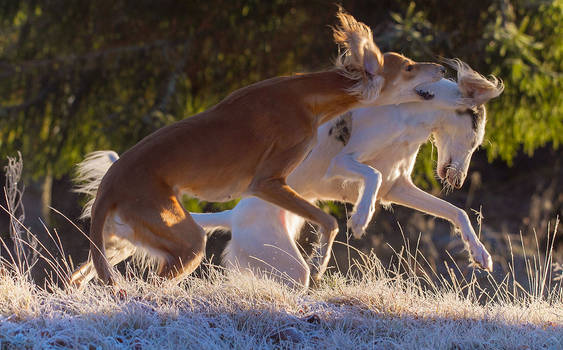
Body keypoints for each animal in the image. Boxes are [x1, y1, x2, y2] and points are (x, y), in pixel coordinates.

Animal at [69, 10, 446, 288]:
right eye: (409, 66)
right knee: (152, 284)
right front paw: (320, 260)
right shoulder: (266, 182)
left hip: (123, 239)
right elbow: (329, 221)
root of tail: (109, 184)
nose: (442, 67)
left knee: (79, 276)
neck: (307, 96)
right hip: (184, 239)